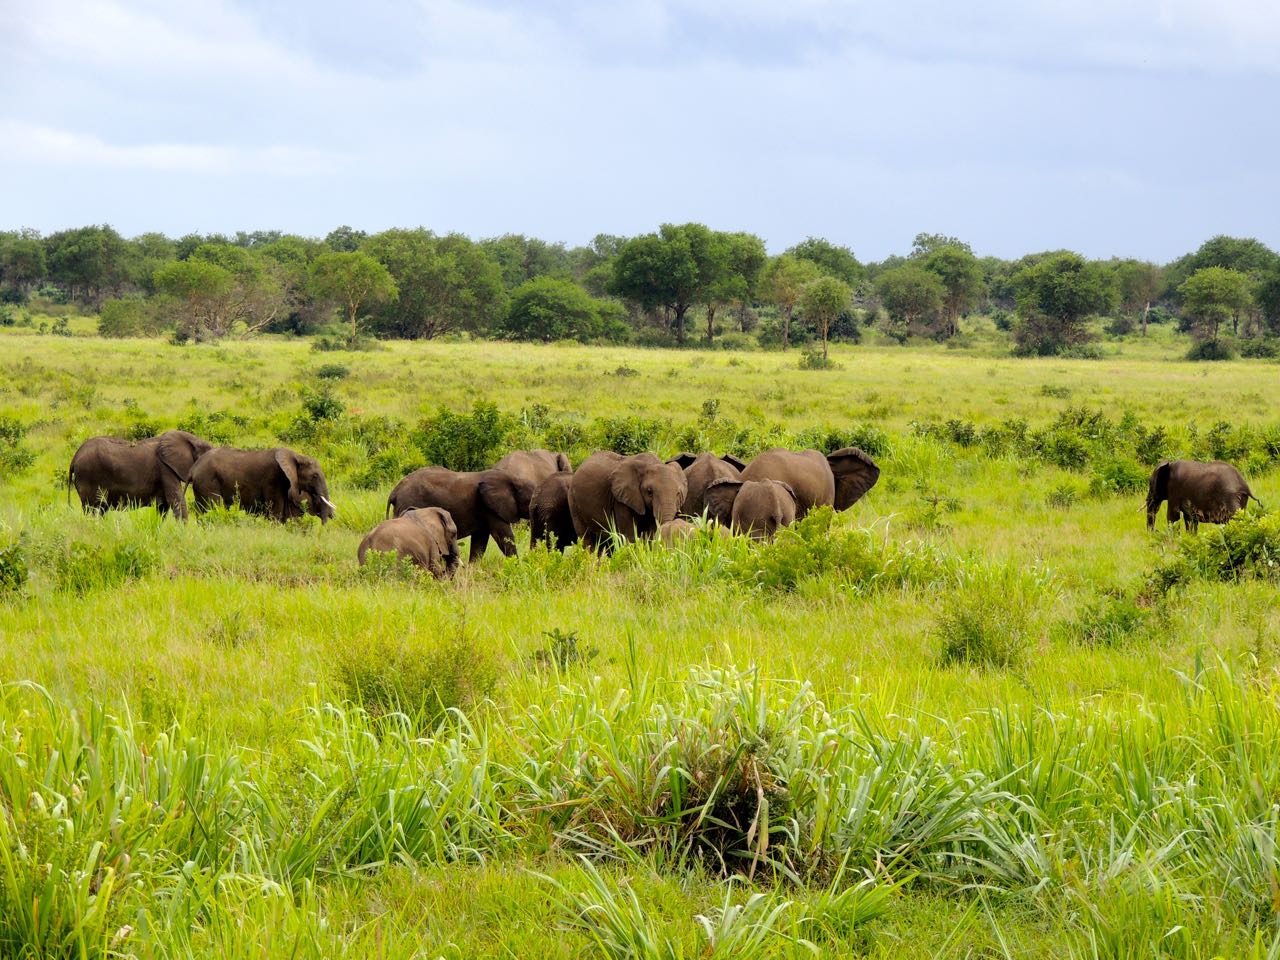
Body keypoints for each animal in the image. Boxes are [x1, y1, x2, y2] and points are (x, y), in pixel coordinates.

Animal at [69, 427, 212, 519]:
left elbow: (163, 507)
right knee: (91, 509)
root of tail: (75, 457)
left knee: (100, 509)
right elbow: (176, 500)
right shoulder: (165, 468)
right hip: (88, 475)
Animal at [186, 445, 335, 522]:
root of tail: (193, 468)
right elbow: (276, 513)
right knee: (214, 506)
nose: (331, 517)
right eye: (315, 476)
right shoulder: (273, 479)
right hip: (207, 481)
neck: (296, 456)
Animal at [384, 468, 535, 563]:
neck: (514, 479)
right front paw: (517, 566)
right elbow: (504, 536)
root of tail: (394, 492)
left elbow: (479, 542)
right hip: (407, 502)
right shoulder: (490, 508)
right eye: (531, 499)